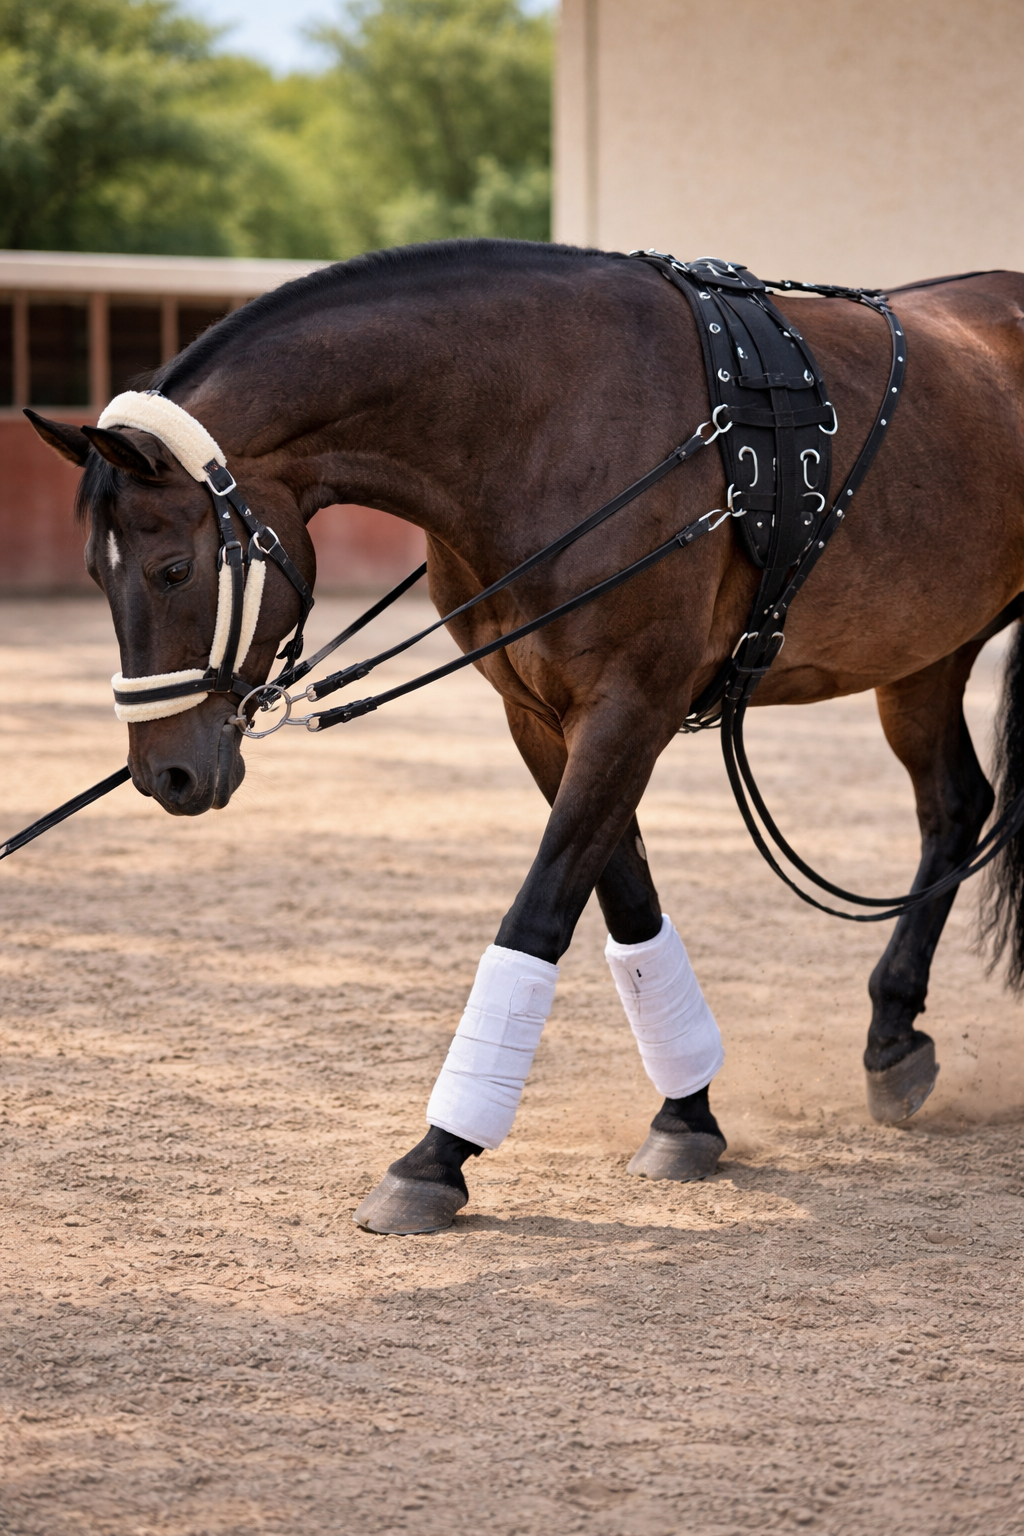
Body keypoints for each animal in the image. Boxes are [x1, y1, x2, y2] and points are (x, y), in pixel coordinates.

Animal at [27, 239, 1024, 1234]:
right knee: (954, 806)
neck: (544, 419)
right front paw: (686, 1113)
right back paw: (892, 1034)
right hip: (925, 654)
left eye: (173, 569)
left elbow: (541, 911)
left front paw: (438, 1155)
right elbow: (627, 903)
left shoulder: (630, 706)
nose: (165, 773)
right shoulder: (540, 717)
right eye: (95, 573)